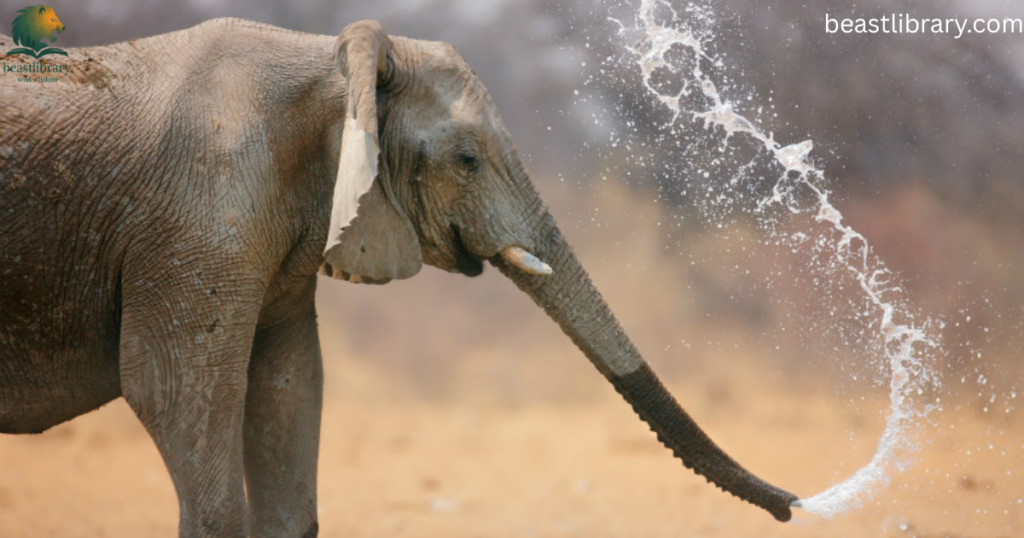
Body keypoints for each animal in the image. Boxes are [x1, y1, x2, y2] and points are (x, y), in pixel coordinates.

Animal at [0, 18, 797, 537]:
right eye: (468, 161)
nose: (795, 504)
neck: (333, 58)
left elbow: (289, 384)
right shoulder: (198, 216)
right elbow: (172, 390)